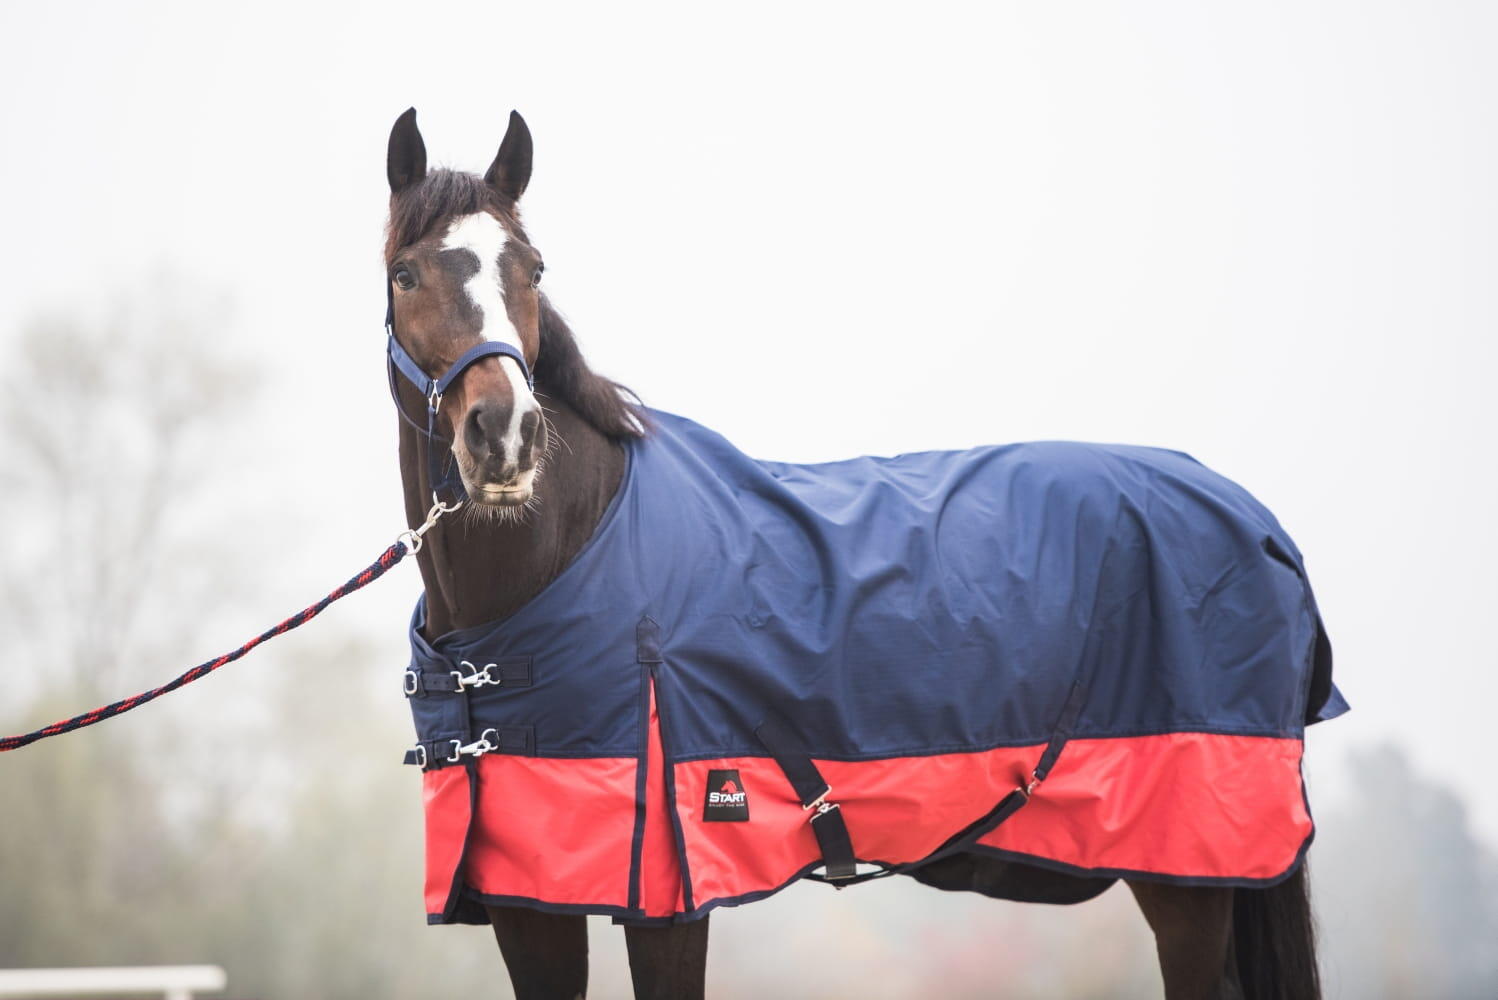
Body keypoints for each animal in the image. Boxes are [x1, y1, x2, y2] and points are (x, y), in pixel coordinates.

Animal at [381, 107, 1334, 1000]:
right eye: (405, 273)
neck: (567, 558)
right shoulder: (527, 897)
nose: (506, 436)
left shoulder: (669, 893)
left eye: (533, 269)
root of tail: (1252, 517)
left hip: (1193, 876)